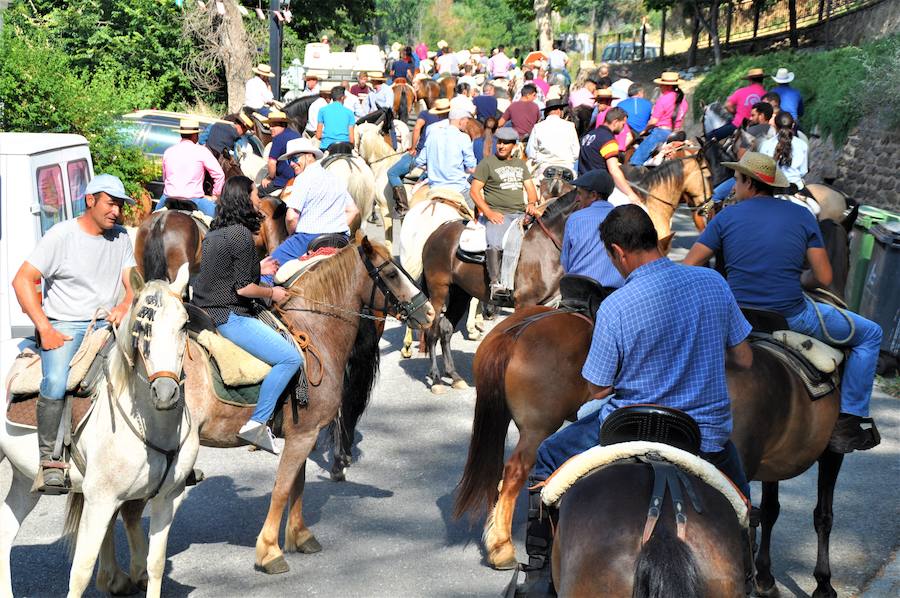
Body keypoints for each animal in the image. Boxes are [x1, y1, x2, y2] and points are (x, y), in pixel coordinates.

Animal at [0, 268, 198, 598]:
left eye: (184, 324)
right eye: (141, 329)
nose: (165, 392)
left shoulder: (168, 499)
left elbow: (155, 564)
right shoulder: (100, 501)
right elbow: (81, 572)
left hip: (24, 477)